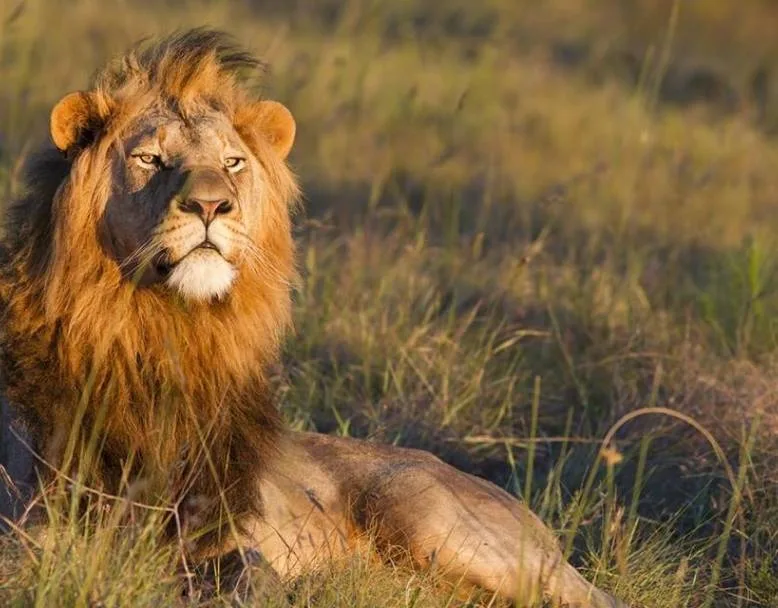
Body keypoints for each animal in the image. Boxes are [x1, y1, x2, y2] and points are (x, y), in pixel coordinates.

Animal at [0, 29, 627, 607]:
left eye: (232, 163)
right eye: (149, 159)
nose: (211, 205)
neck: (167, 330)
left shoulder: (217, 526)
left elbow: (250, 573)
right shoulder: (34, 534)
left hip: (434, 522)